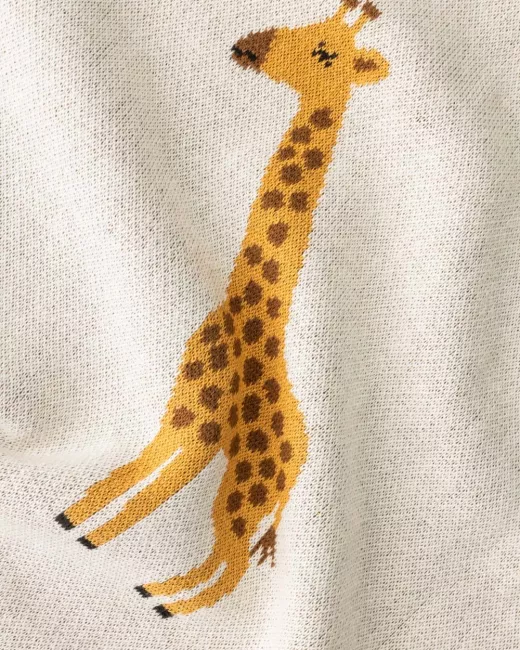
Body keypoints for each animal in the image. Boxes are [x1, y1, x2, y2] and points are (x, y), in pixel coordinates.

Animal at [55, 0, 389, 617]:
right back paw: (155, 591)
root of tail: (299, 464)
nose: (247, 46)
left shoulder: (201, 424)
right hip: (244, 491)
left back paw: (165, 602)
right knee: (221, 557)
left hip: (245, 489)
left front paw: (91, 536)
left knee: (231, 564)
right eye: (309, 26)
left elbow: (157, 486)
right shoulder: (180, 413)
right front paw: (73, 520)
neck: (242, 307)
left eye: (324, 53)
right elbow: (139, 467)